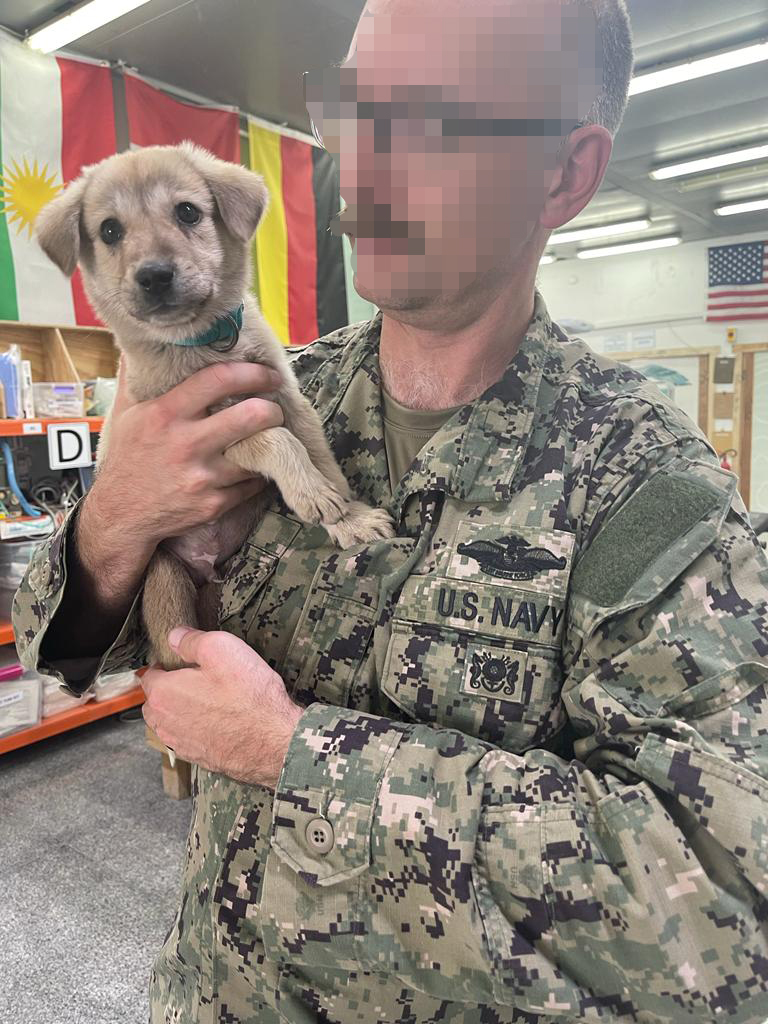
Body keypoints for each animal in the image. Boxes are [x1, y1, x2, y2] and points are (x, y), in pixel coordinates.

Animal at [34, 144, 397, 671]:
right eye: (109, 231)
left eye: (188, 212)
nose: (154, 276)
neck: (205, 341)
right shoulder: (210, 431)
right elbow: (275, 439)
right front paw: (316, 496)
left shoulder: (290, 400)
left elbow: (323, 459)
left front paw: (347, 515)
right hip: (165, 581)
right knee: (172, 652)